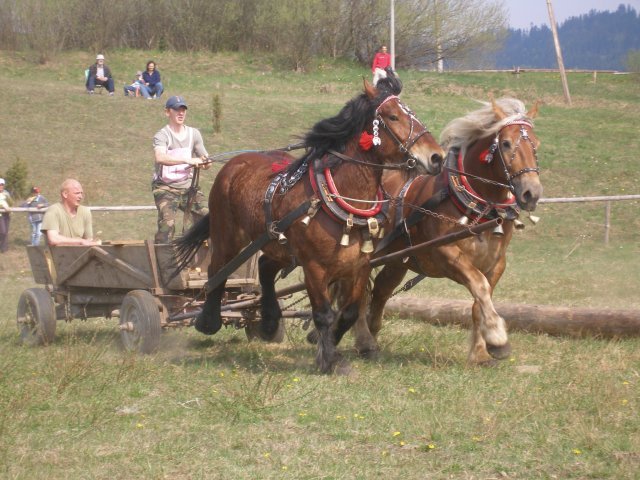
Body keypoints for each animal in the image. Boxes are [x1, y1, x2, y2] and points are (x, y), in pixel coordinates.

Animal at [174, 73, 444, 374]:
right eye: (394, 116)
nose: (436, 157)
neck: (342, 198)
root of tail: (236, 163)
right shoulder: (314, 267)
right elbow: (323, 313)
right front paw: (330, 360)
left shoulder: (360, 265)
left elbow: (349, 312)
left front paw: (331, 344)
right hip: (228, 234)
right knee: (216, 271)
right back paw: (208, 320)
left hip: (277, 243)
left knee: (265, 267)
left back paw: (269, 322)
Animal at [352, 99, 544, 366]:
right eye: (505, 143)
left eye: (536, 144)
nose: (531, 193)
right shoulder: (446, 254)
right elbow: (479, 286)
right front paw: (497, 337)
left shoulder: (496, 262)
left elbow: (480, 300)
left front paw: (481, 352)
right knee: (358, 293)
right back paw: (363, 340)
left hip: (397, 261)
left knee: (380, 291)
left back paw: (372, 334)